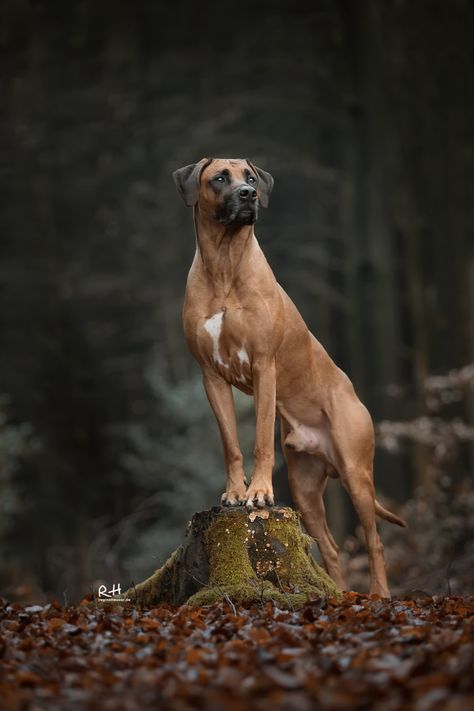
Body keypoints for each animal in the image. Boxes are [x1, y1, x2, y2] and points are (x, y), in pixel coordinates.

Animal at [172, 159, 406, 596]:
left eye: (250, 177)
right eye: (220, 178)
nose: (248, 195)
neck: (224, 263)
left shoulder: (265, 366)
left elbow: (262, 438)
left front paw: (259, 492)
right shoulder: (211, 376)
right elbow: (232, 443)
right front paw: (236, 492)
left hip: (356, 471)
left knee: (375, 540)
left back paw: (380, 594)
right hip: (305, 486)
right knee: (329, 546)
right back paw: (339, 592)